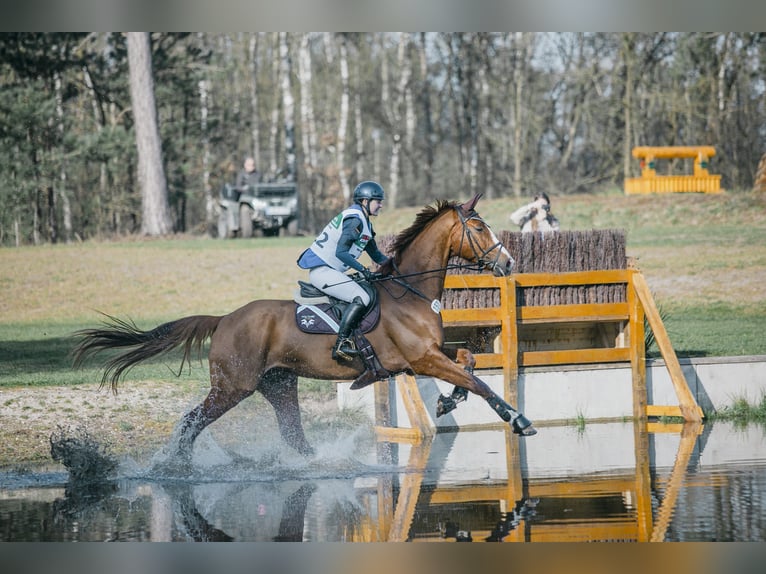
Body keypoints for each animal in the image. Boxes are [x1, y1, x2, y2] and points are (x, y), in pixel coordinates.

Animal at [75, 194, 536, 468]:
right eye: (479, 228)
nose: (509, 263)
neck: (411, 293)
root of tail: (223, 319)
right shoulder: (422, 359)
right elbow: (480, 383)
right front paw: (518, 419)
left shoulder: (427, 357)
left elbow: (469, 362)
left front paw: (447, 402)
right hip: (232, 387)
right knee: (192, 420)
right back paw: (178, 466)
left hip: (278, 384)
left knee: (291, 433)